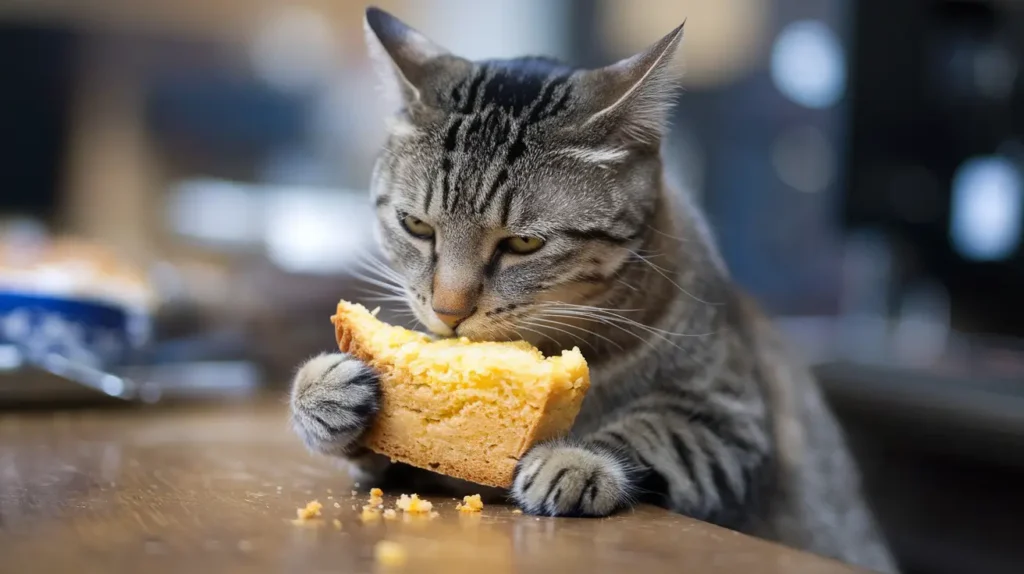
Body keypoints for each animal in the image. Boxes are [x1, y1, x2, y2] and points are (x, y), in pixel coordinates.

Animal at [288, 8, 897, 572]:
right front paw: (321, 389)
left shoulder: (731, 417)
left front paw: (577, 459)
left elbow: (654, 432)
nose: (448, 310)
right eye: (416, 226)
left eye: (524, 243)